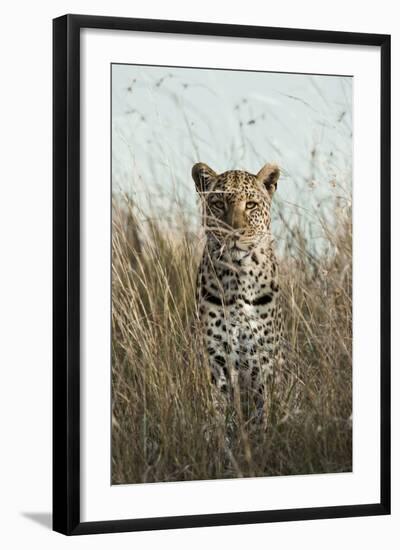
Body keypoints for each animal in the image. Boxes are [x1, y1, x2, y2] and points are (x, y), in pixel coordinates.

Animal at [193, 162, 284, 420]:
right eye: (218, 204)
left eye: (251, 205)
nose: (233, 233)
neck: (239, 277)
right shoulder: (216, 358)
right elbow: (220, 410)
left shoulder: (262, 359)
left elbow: (260, 410)